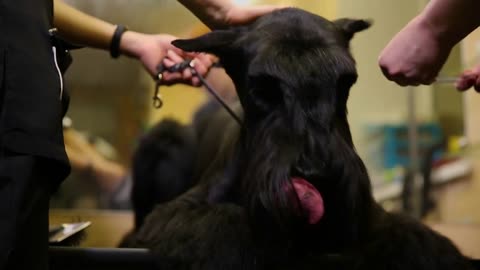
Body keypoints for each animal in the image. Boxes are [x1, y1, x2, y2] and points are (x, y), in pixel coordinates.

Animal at [123, 8, 472, 270]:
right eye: (262, 86)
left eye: (346, 81)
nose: (317, 173)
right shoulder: (180, 212)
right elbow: (224, 223)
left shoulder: (374, 223)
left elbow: (410, 238)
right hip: (164, 141)